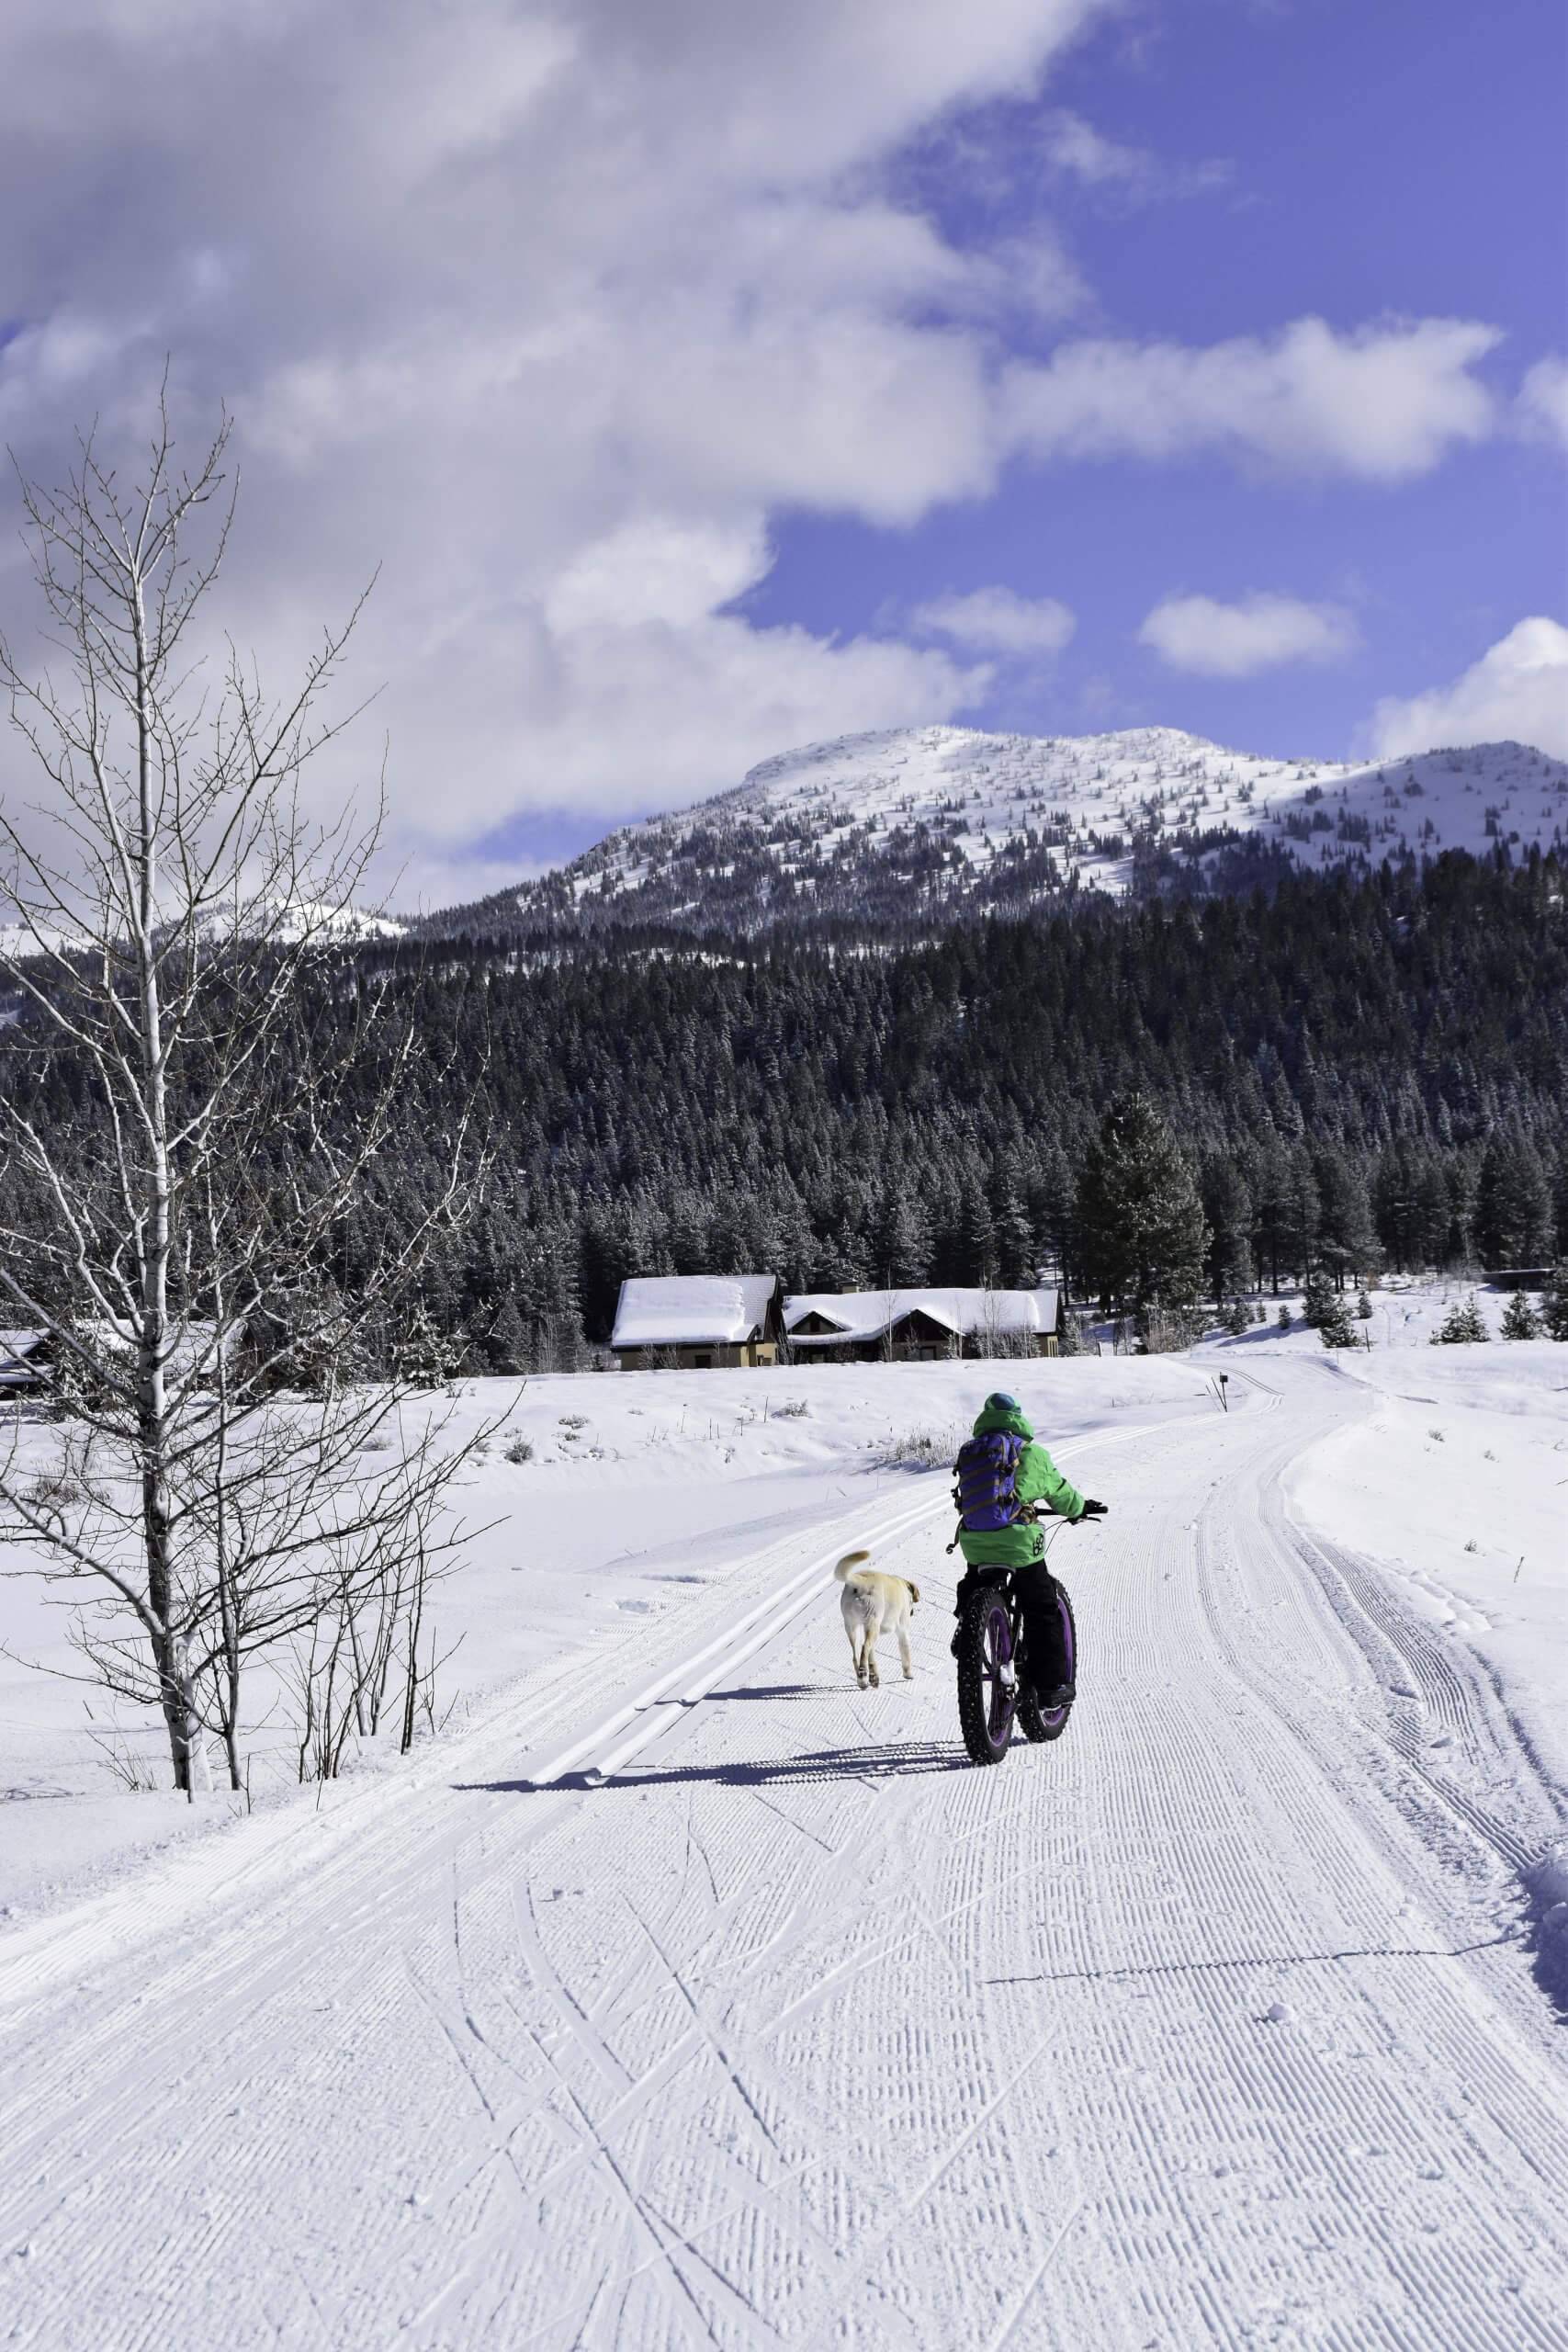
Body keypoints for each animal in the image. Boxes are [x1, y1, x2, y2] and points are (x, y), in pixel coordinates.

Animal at [831, 1543, 921, 1693]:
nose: (912, 1612)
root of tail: (861, 1582)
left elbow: (872, 1656)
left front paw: (874, 1676)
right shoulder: (902, 1631)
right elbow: (906, 1654)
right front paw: (909, 1674)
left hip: (852, 1626)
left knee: (856, 1654)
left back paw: (863, 1680)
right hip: (872, 1623)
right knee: (864, 1648)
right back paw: (863, 1674)